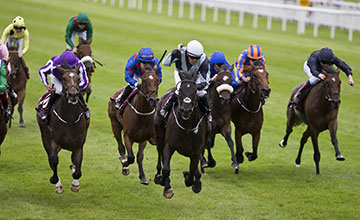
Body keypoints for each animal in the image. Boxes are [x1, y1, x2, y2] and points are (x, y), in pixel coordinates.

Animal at [153, 70, 207, 199]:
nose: (186, 110)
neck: (186, 128)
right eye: (181, 91)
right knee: (160, 155)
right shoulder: (169, 145)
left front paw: (192, 180)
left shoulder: (196, 152)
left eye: (195, 91)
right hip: (159, 134)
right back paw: (159, 177)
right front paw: (165, 185)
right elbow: (166, 170)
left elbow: (192, 174)